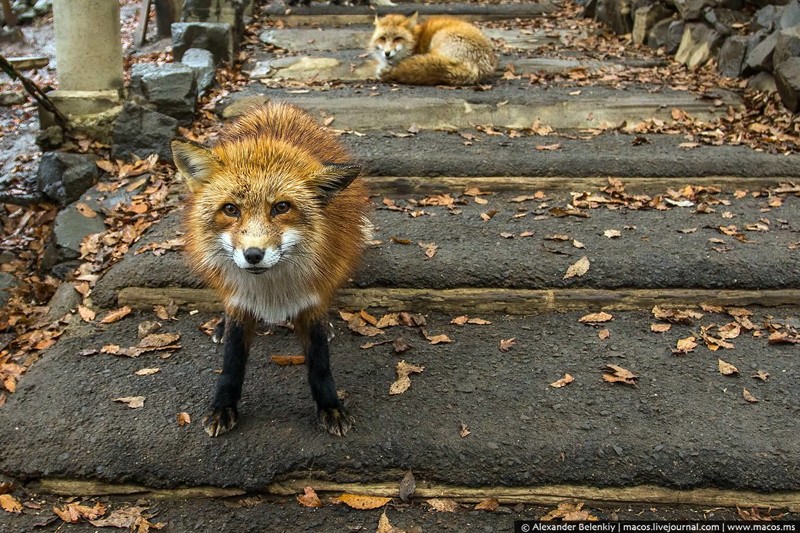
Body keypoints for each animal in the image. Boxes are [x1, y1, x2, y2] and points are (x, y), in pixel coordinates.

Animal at [172, 103, 372, 436]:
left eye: (281, 207)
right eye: (230, 209)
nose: (253, 255)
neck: (271, 292)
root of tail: (276, 107)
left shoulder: (311, 298)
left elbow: (320, 363)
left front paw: (330, 406)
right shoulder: (240, 300)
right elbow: (231, 362)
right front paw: (223, 406)